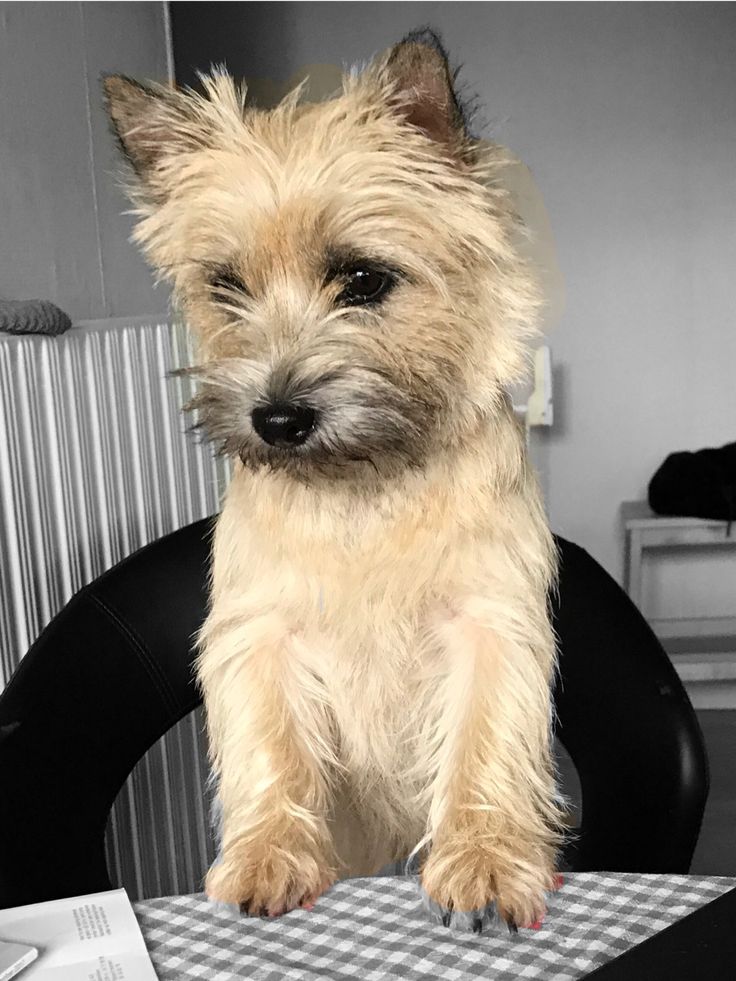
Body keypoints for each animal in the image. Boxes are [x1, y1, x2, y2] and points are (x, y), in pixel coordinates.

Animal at [103, 28, 564, 936]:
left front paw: (486, 863)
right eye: (226, 286)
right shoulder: (260, 633)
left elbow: (483, 741)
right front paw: (267, 856)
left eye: (364, 280)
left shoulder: (489, 621)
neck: (364, 488)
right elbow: (271, 748)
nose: (276, 418)